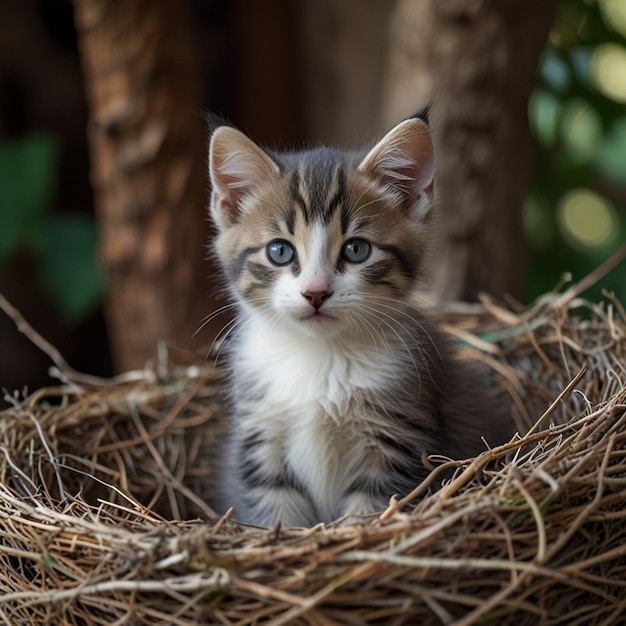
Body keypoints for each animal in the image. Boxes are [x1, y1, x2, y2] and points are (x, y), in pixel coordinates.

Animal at [207, 109, 510, 524]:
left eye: (356, 249)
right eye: (280, 252)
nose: (315, 292)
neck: (320, 357)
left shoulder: (396, 443)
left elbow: (369, 512)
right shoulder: (261, 439)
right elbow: (276, 513)